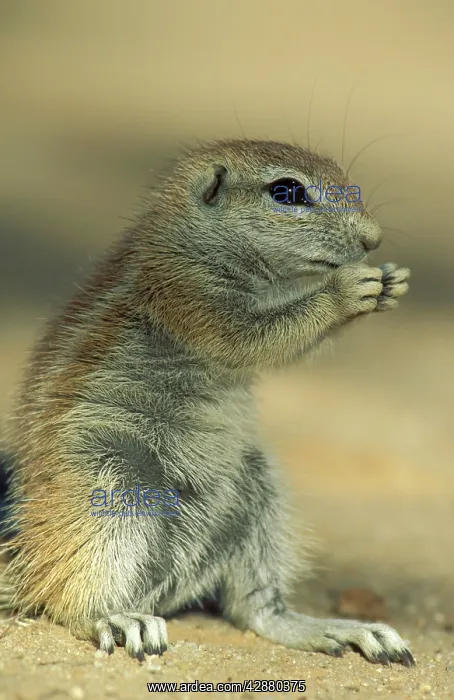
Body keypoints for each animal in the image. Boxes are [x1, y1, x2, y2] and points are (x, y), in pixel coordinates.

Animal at [0, 139, 413, 666]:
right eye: (288, 192)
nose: (372, 240)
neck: (193, 241)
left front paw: (391, 281)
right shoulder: (188, 294)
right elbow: (257, 336)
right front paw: (342, 292)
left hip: (259, 490)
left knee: (256, 608)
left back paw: (338, 629)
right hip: (109, 483)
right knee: (66, 597)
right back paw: (116, 617)